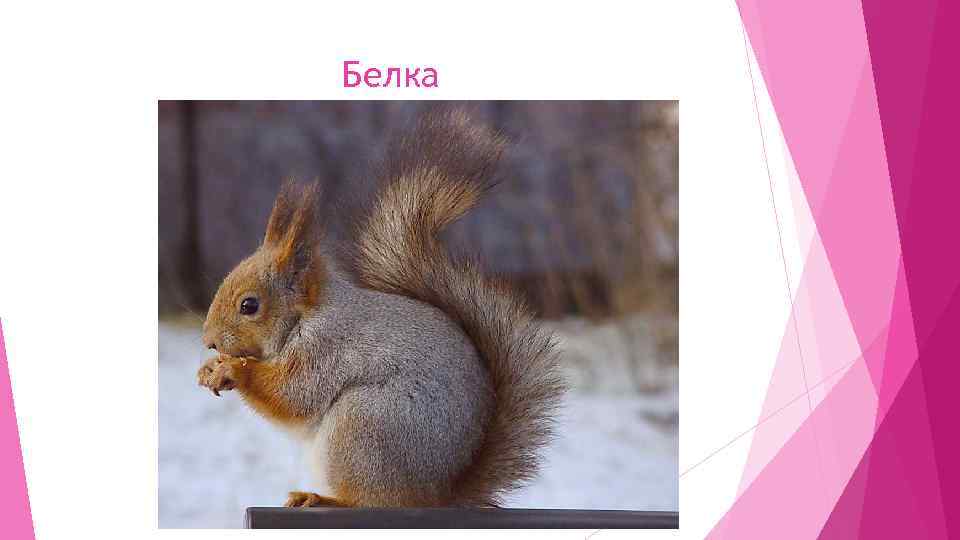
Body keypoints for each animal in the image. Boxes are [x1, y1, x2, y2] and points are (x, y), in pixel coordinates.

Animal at [196, 109, 565, 508]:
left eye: (250, 305)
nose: (208, 340)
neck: (305, 318)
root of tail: (437, 495)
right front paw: (210, 367)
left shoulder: (325, 349)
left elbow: (294, 396)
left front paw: (234, 370)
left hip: (364, 425)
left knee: (370, 500)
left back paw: (322, 499)